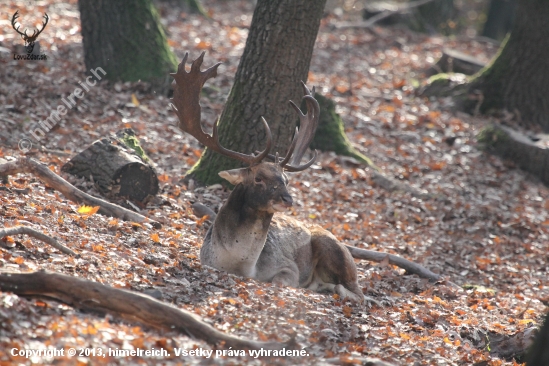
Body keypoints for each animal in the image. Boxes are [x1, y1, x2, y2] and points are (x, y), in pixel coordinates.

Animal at [167, 52, 364, 304]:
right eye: (258, 178)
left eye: (286, 180)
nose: (287, 199)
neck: (239, 264)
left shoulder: (289, 267)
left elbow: (282, 281)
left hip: (336, 249)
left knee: (358, 292)